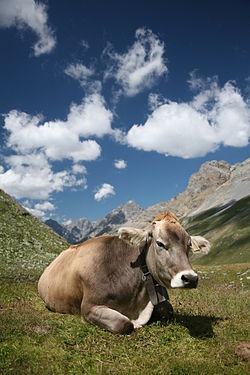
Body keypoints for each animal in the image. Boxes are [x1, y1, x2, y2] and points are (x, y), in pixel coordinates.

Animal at [38, 212, 207, 334]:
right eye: (160, 243)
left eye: (188, 244)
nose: (190, 278)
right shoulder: (89, 307)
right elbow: (124, 324)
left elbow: (168, 310)